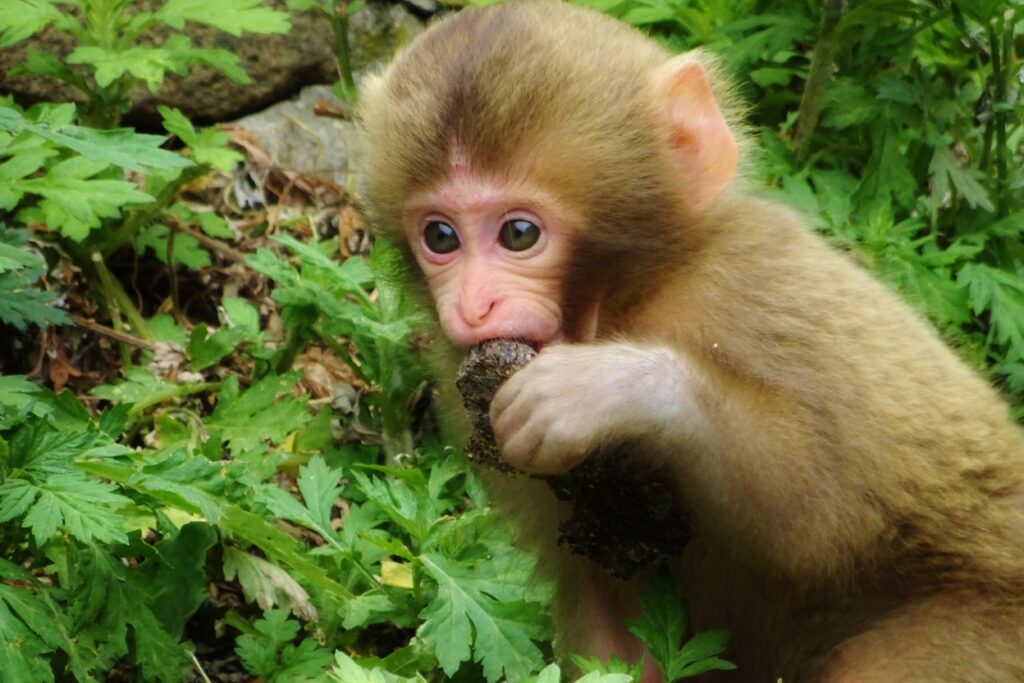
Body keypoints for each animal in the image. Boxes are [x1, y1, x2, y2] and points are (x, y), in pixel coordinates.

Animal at [358, 1, 1024, 683]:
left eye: (519, 234)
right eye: (441, 236)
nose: (472, 305)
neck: (632, 296)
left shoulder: (754, 290)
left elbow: (823, 520)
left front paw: (619, 389)